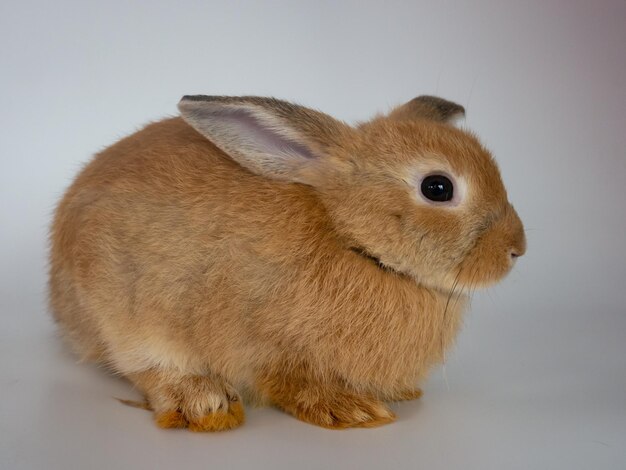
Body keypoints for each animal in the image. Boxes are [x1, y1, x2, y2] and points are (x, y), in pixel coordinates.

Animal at [51, 93, 524, 432]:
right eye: (437, 187)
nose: (517, 249)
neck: (351, 239)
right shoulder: (268, 346)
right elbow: (291, 382)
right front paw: (350, 410)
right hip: (123, 314)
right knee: (143, 367)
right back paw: (203, 402)